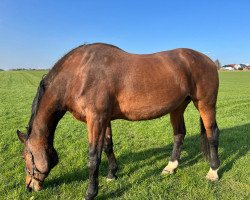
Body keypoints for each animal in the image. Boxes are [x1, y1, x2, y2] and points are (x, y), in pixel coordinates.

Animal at [17, 43, 220, 199]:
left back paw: (213, 172)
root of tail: (208, 60)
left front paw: (91, 193)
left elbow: (93, 157)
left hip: (205, 104)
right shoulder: (104, 119)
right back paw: (170, 167)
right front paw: (112, 174)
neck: (79, 74)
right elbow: (108, 146)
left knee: (212, 134)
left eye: (25, 157)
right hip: (177, 107)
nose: (29, 187)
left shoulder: (96, 119)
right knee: (179, 134)